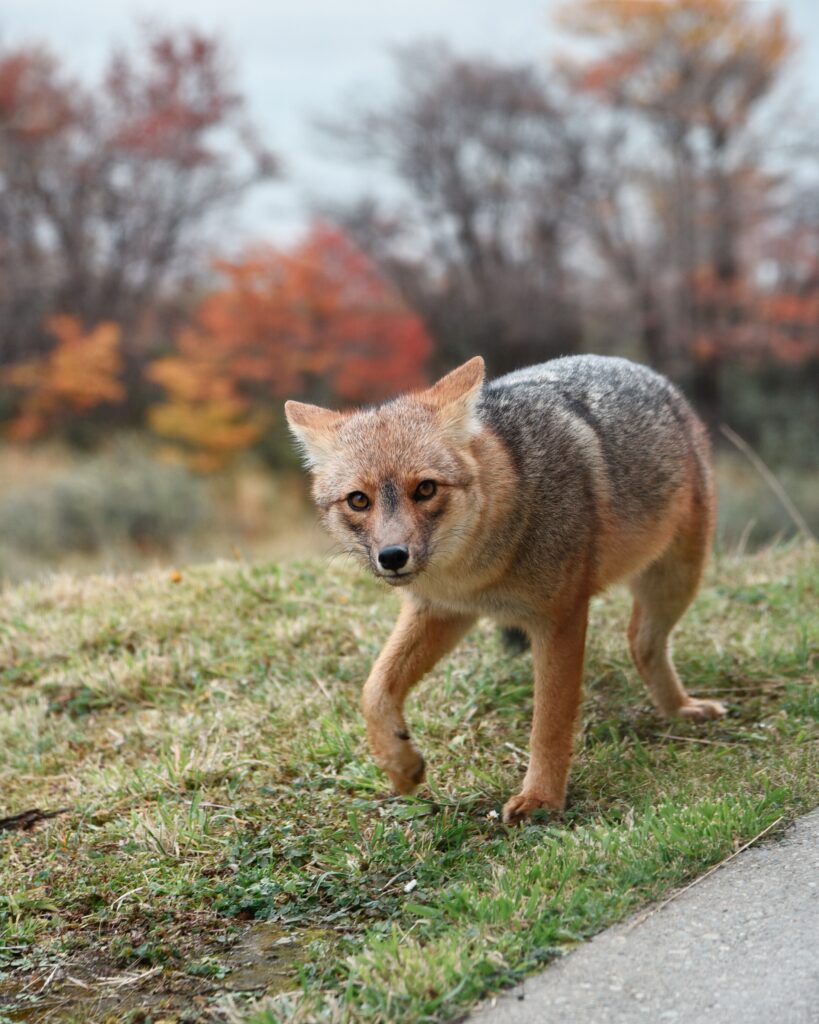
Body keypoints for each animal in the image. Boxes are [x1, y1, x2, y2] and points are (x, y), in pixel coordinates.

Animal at [285, 355, 726, 823]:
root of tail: (642, 370)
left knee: (641, 641)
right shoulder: (442, 611)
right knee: (639, 642)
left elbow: (549, 723)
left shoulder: (560, 619)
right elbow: (373, 689)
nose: (392, 556)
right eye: (359, 500)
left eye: (425, 489)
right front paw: (399, 765)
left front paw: (542, 800)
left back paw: (680, 708)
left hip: (677, 579)